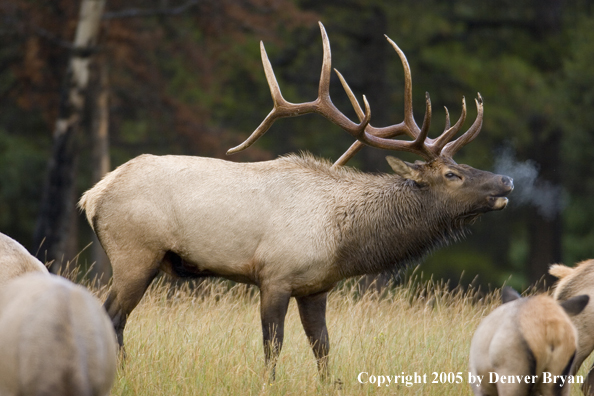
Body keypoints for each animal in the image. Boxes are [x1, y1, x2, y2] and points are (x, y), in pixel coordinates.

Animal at [78, 22, 512, 380]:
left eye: (462, 165)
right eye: (452, 175)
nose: (506, 179)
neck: (343, 240)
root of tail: (92, 195)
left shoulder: (316, 286)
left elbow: (322, 347)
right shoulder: (275, 274)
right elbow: (273, 345)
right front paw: (268, 384)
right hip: (135, 252)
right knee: (112, 315)